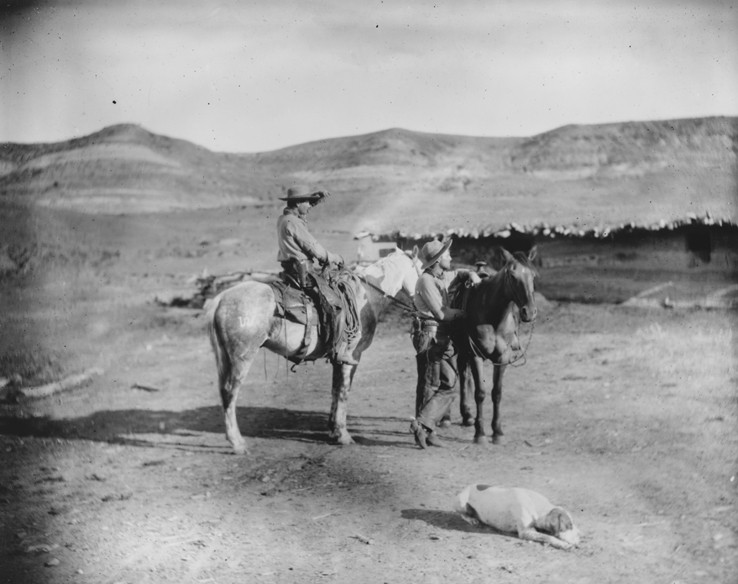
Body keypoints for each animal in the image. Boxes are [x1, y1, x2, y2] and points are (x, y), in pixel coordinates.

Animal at [206, 248, 422, 454]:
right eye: (421, 270)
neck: (366, 294)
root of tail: (221, 299)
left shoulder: (337, 360)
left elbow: (335, 390)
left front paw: (333, 432)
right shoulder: (352, 357)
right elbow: (343, 391)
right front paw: (343, 435)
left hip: (226, 358)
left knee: (223, 392)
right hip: (242, 358)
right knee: (230, 392)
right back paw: (237, 443)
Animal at [455, 247, 538, 445]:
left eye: (533, 275)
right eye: (512, 275)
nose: (529, 312)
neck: (491, 314)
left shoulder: (503, 357)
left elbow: (497, 393)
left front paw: (497, 432)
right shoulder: (475, 355)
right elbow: (480, 393)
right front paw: (480, 434)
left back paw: (467, 415)